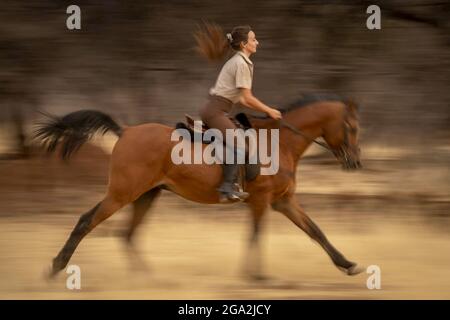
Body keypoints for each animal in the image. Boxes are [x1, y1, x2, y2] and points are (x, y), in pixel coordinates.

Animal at [36, 94, 366, 278]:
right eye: (351, 127)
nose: (355, 162)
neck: (280, 143)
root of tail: (126, 131)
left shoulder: (283, 201)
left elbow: (316, 231)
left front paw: (349, 264)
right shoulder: (261, 201)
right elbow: (256, 235)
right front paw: (256, 276)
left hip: (145, 195)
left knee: (128, 234)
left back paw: (149, 278)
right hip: (121, 194)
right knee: (86, 221)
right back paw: (56, 266)